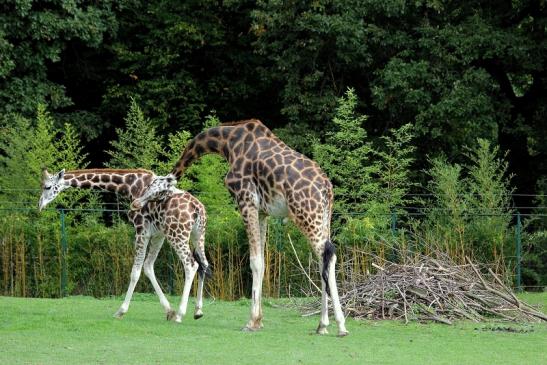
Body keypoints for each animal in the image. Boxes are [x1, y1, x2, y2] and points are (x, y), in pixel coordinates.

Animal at [132, 118, 346, 336]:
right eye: (149, 187)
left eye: (157, 191)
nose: (136, 203)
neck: (227, 144)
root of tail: (327, 189)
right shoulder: (262, 211)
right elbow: (262, 260)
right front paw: (259, 320)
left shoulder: (245, 200)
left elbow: (255, 261)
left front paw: (251, 321)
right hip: (323, 218)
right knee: (324, 260)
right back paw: (322, 325)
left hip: (307, 215)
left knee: (328, 257)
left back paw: (340, 325)